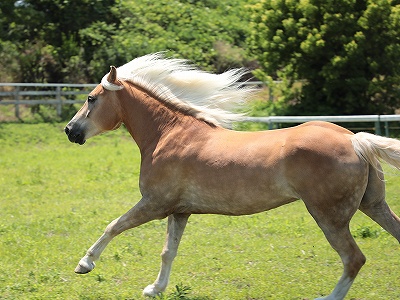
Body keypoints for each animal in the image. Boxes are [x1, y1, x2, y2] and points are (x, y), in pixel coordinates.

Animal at [65, 52, 400, 298]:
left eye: (92, 98)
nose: (70, 131)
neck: (168, 134)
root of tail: (355, 139)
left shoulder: (154, 204)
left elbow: (113, 226)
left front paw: (84, 264)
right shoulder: (179, 211)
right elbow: (168, 252)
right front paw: (155, 289)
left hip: (330, 216)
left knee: (353, 259)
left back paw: (329, 296)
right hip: (372, 205)